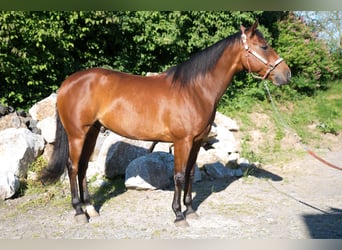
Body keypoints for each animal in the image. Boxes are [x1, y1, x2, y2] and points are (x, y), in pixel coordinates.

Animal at [40, 21, 292, 227]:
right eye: (264, 47)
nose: (286, 74)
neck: (194, 90)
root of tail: (68, 83)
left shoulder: (197, 141)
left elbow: (190, 173)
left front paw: (190, 210)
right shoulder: (182, 142)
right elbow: (179, 175)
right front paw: (178, 215)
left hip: (91, 132)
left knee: (82, 167)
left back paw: (90, 208)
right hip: (77, 134)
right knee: (73, 167)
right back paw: (79, 212)